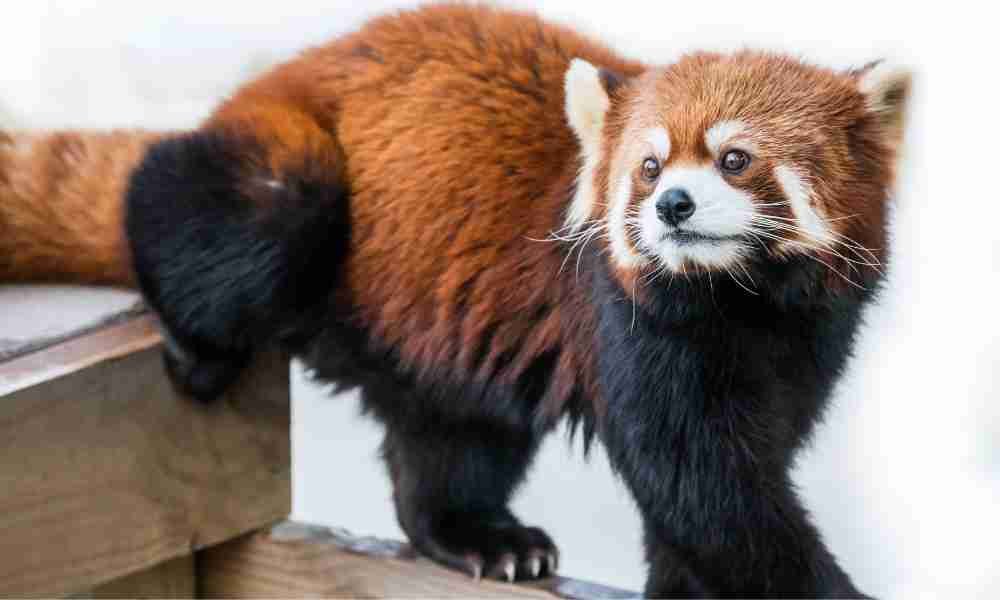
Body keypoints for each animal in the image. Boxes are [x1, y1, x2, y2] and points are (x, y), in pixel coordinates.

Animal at [1, 3, 908, 596]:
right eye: (649, 167)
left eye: (734, 159)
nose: (672, 206)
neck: (742, 303)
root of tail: (270, 81)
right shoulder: (629, 324)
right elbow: (702, 485)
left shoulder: (807, 340)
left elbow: (715, 494)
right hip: (294, 170)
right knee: (215, 205)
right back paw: (195, 342)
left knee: (451, 439)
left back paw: (480, 535)